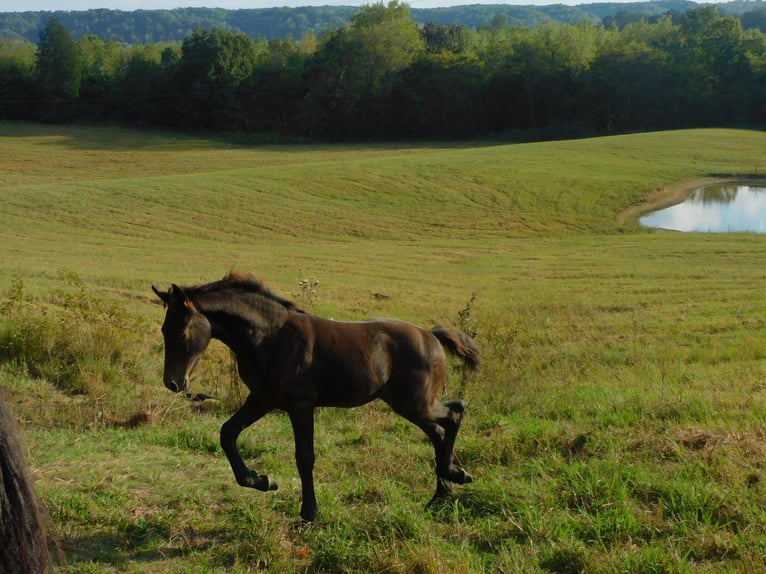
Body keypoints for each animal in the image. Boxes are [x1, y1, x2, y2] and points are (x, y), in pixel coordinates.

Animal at [153, 270, 481, 521]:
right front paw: (262, 481)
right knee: (440, 429)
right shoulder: (262, 399)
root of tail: (431, 336)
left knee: (454, 413)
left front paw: (309, 512)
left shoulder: (301, 405)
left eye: (181, 332)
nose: (174, 383)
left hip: (413, 403)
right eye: (164, 330)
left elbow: (304, 456)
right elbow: (228, 433)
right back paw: (443, 491)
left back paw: (451, 478)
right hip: (409, 404)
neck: (270, 336)